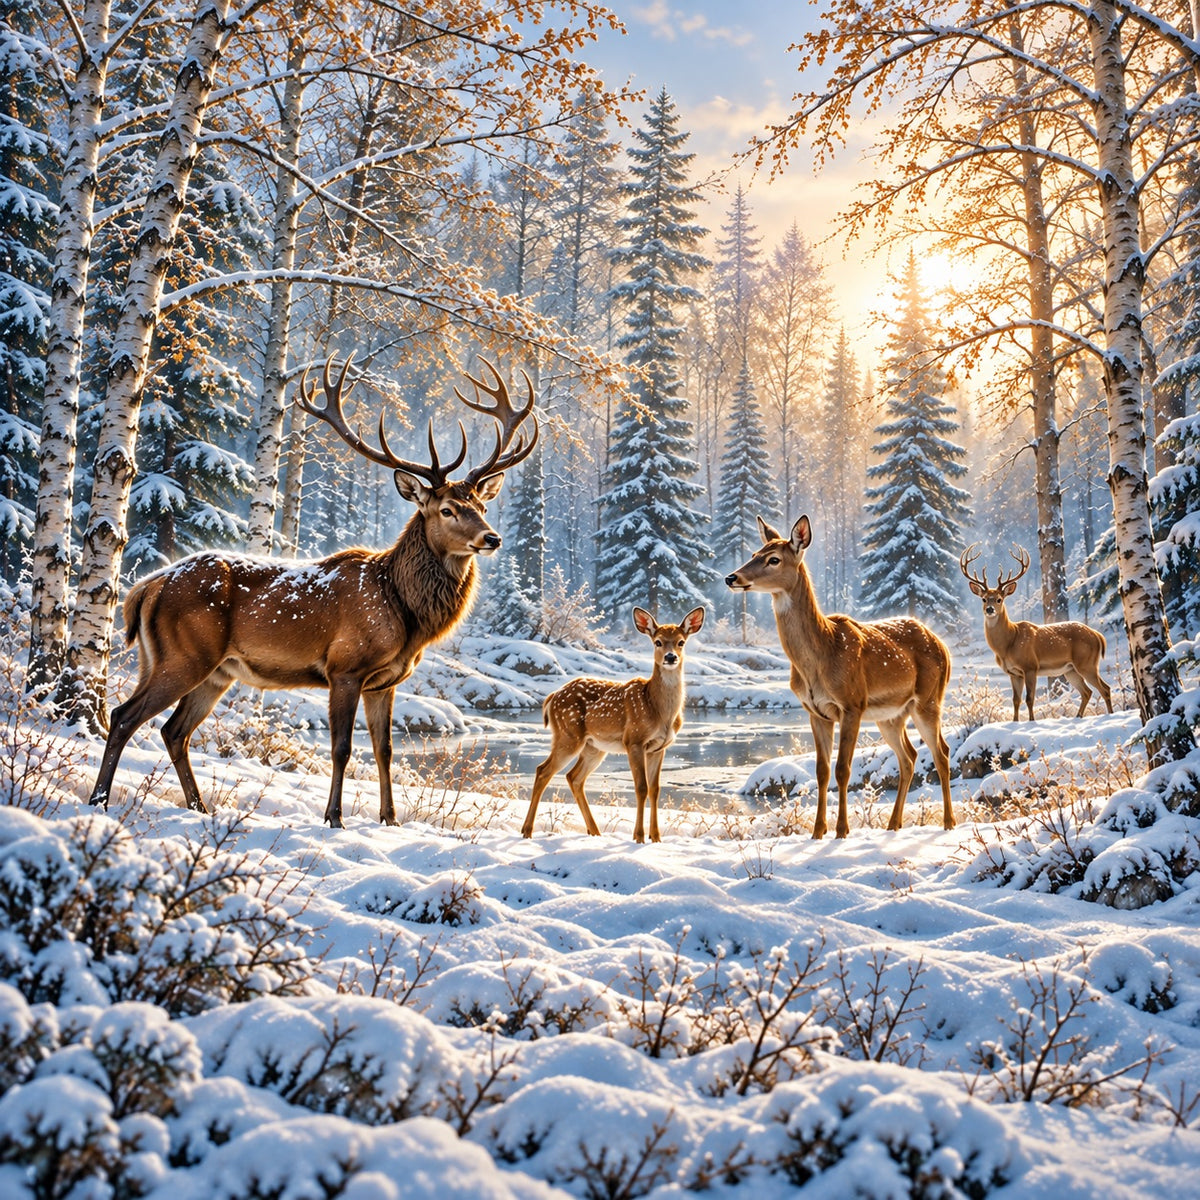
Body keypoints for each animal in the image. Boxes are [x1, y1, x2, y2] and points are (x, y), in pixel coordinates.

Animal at [87, 355, 537, 829]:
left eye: (481, 506)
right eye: (447, 510)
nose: (491, 538)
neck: (403, 610)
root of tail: (146, 587)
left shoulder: (385, 682)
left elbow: (385, 750)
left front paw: (390, 820)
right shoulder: (345, 667)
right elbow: (342, 748)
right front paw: (334, 818)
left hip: (212, 670)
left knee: (173, 731)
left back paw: (200, 807)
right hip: (183, 655)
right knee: (124, 716)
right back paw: (101, 800)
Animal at [520, 606, 705, 844]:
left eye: (681, 642)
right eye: (658, 642)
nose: (671, 657)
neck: (658, 709)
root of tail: (552, 697)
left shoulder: (659, 748)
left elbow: (655, 789)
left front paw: (656, 838)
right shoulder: (634, 740)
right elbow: (641, 787)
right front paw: (639, 837)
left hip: (594, 747)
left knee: (574, 777)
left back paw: (595, 832)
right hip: (568, 734)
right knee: (543, 771)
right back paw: (527, 831)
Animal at [725, 515, 954, 839]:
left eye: (773, 559)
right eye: (755, 553)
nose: (732, 577)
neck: (822, 653)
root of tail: (943, 645)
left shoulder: (852, 704)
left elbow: (842, 769)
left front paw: (842, 830)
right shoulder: (815, 711)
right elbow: (822, 771)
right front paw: (817, 831)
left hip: (929, 699)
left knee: (941, 753)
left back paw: (948, 822)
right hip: (891, 715)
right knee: (909, 757)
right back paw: (893, 825)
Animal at [959, 544, 1113, 721]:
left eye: (999, 599)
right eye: (983, 599)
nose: (990, 609)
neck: (1008, 643)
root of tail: (1097, 635)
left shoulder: (1030, 666)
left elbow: (1029, 699)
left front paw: (1031, 721)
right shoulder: (1014, 673)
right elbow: (1016, 700)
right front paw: (1015, 722)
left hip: (1087, 663)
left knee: (1104, 689)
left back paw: (1110, 715)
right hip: (1071, 669)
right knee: (1088, 692)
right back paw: (1078, 716)